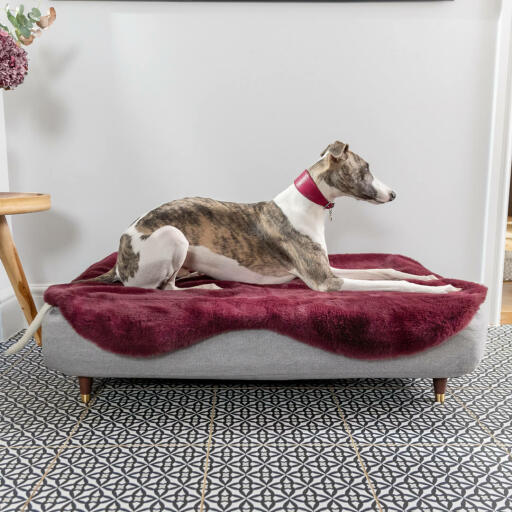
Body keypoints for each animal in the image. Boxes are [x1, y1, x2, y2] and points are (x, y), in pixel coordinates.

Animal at [3, 140, 460, 356]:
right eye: (365, 168)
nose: (395, 194)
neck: (307, 204)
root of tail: (120, 256)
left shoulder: (331, 270)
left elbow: (389, 270)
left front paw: (430, 275)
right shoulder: (325, 281)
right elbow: (400, 287)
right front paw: (443, 289)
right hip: (173, 236)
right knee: (159, 291)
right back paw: (206, 289)